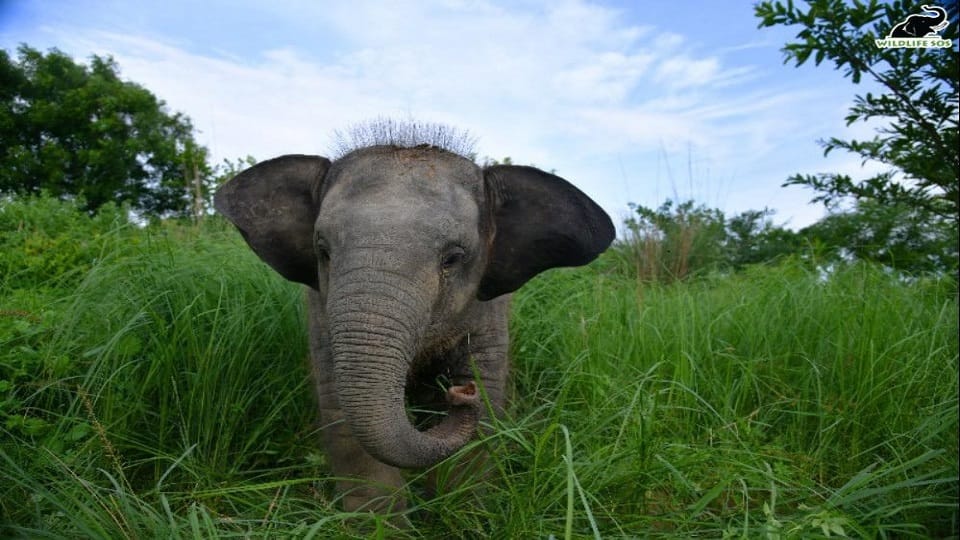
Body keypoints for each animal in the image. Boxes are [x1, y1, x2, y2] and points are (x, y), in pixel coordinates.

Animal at [214, 136, 614, 515]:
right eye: (323, 251)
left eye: (453, 258)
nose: (461, 392)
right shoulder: (321, 313)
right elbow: (340, 408)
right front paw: (382, 525)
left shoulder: (489, 312)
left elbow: (487, 400)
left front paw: (460, 515)